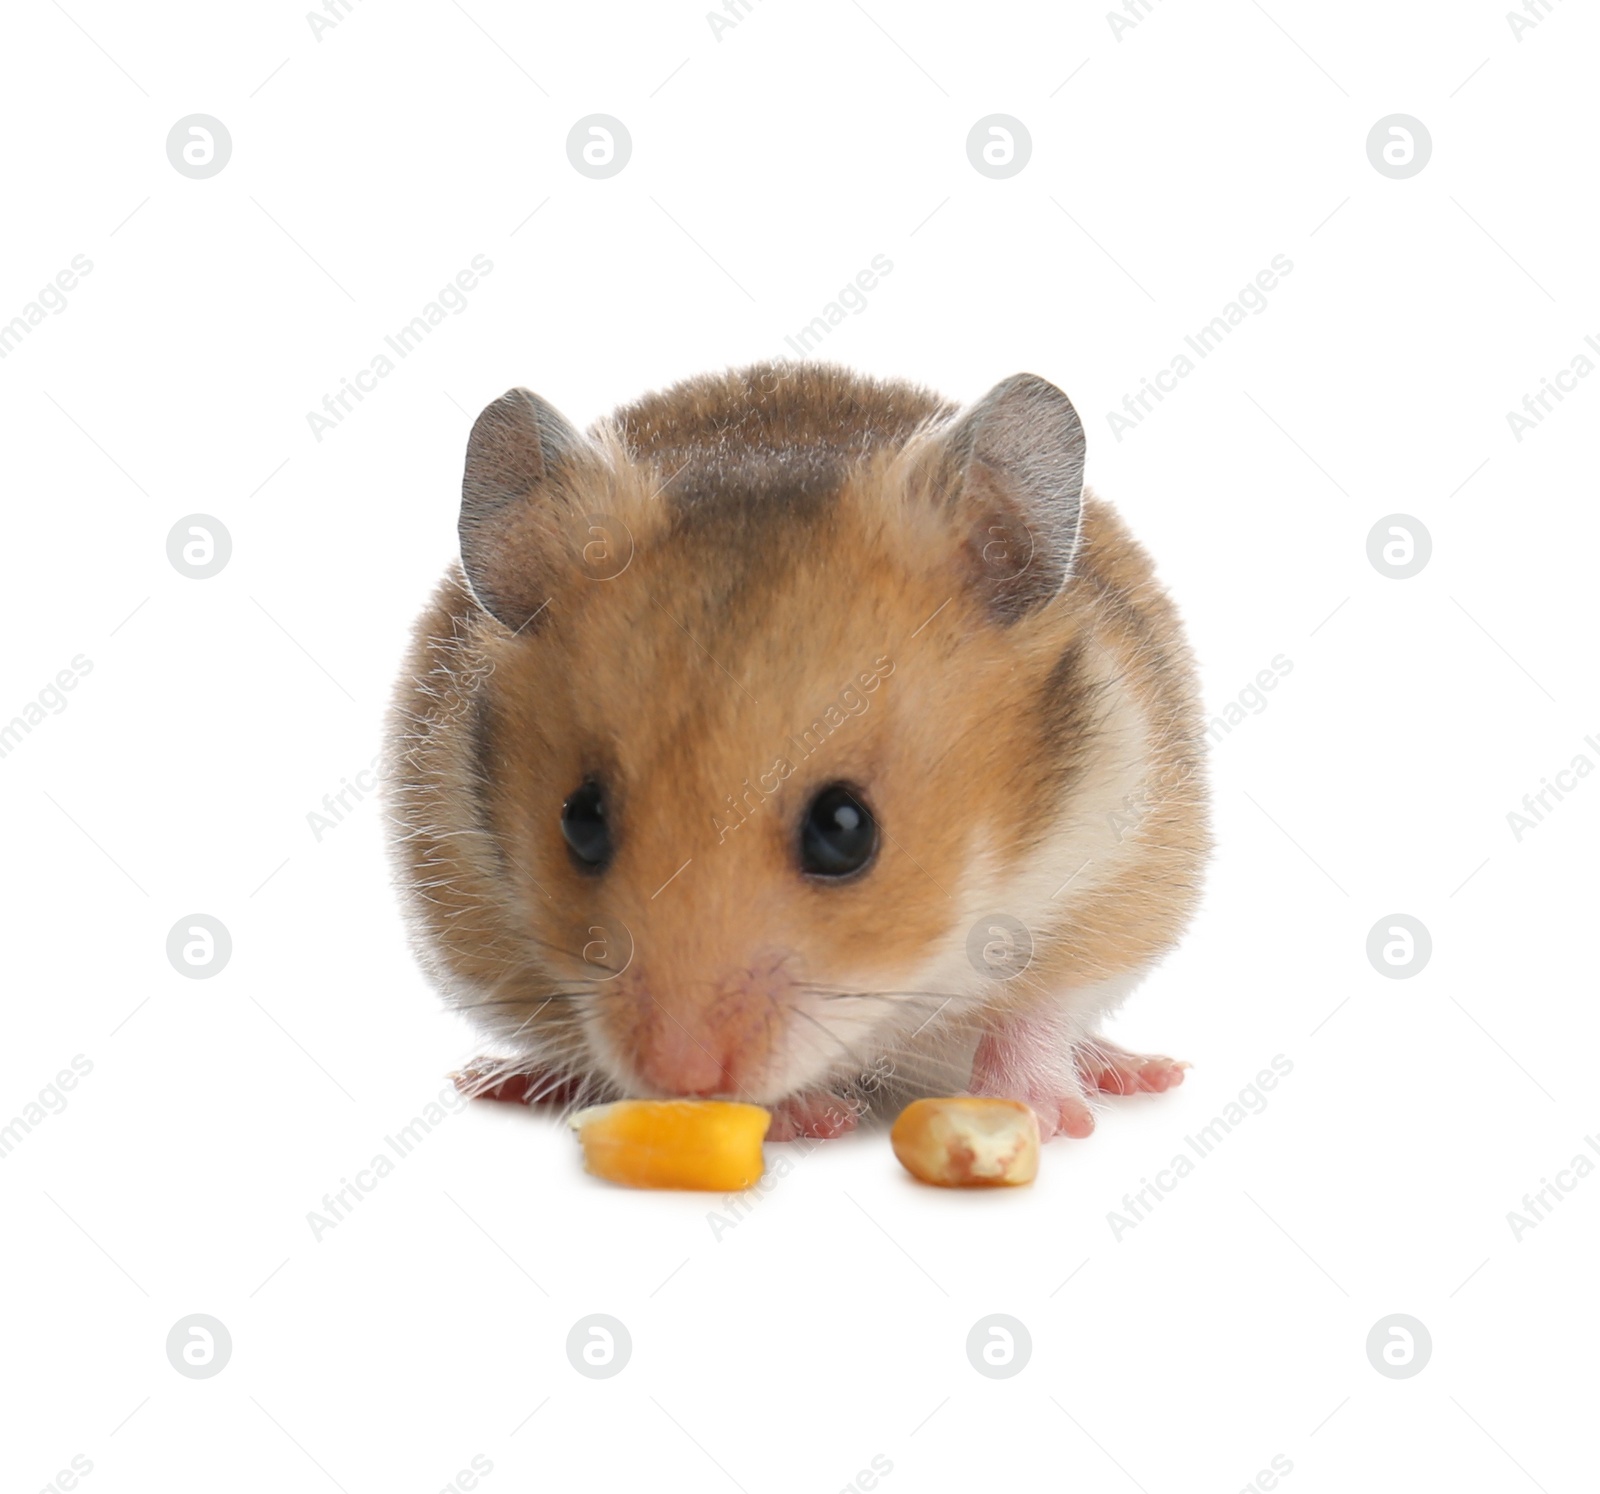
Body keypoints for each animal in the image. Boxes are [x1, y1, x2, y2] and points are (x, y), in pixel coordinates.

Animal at [390, 363, 1209, 1145]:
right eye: (580, 822)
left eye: (844, 830)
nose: (680, 1076)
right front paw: (808, 1120)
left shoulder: (1120, 862)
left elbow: (1037, 1009)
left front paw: (1043, 1117)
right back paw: (500, 1079)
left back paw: (1135, 1072)